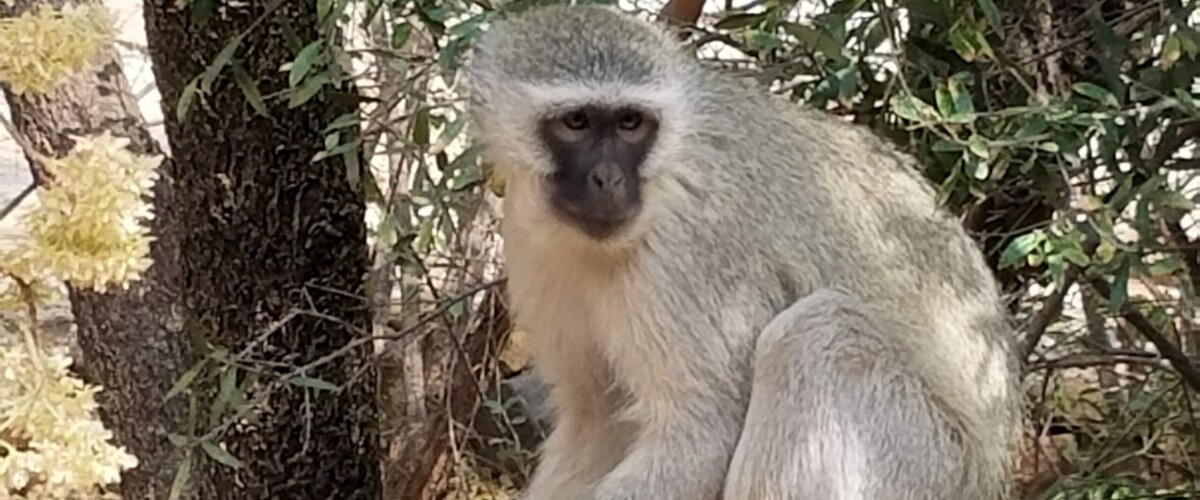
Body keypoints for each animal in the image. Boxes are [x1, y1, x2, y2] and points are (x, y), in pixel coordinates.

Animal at [463, 5, 1022, 500]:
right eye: (576, 122)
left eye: (630, 124)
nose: (608, 179)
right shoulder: (531, 237)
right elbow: (597, 419)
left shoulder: (689, 254)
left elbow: (702, 435)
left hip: (926, 463)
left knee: (817, 334)